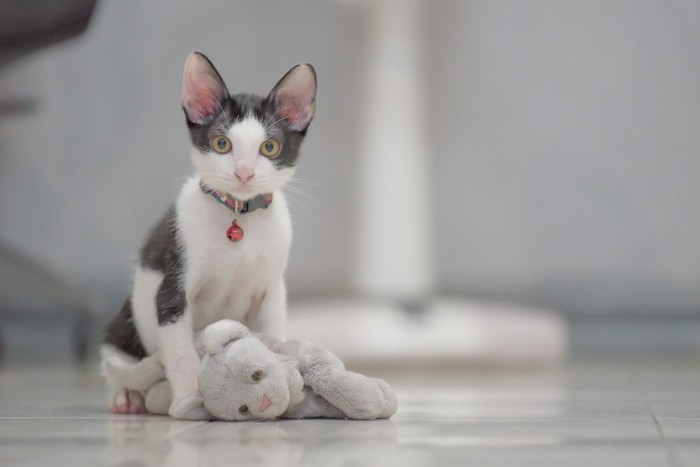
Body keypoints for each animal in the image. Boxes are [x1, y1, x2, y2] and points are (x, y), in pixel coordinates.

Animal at [99, 52, 318, 420]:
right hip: (126, 327)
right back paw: (126, 394)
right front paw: (189, 399)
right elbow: (181, 352)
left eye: (269, 147)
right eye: (222, 143)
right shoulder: (172, 290)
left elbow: (271, 335)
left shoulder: (272, 290)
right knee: (114, 359)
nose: (244, 173)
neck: (238, 215)